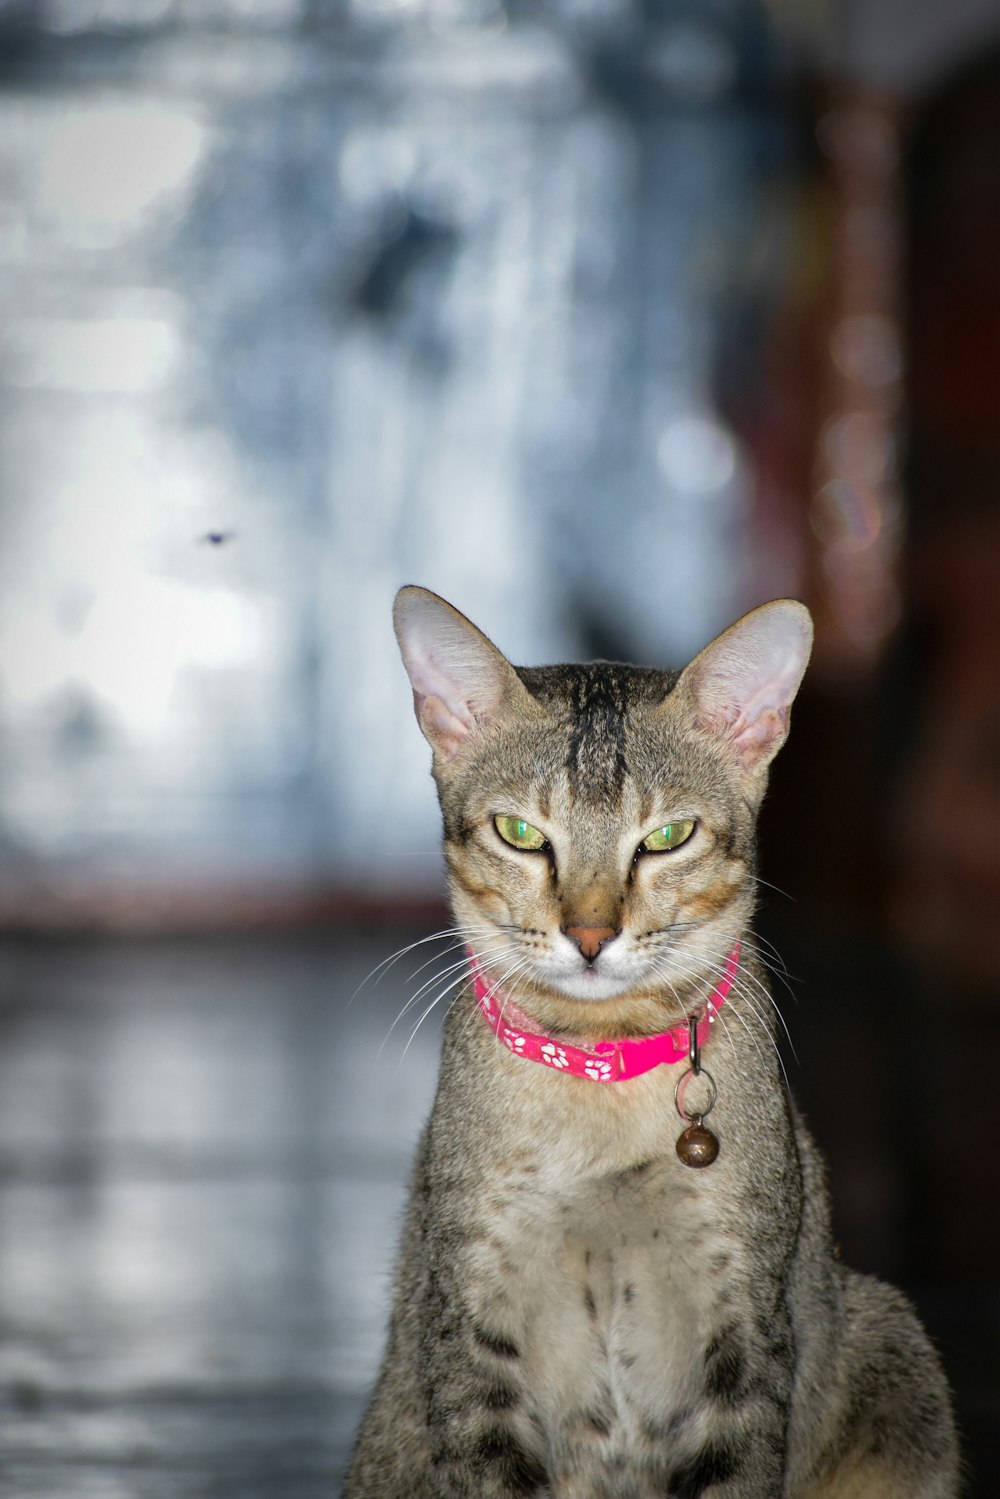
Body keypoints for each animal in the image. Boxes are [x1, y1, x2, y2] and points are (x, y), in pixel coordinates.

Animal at [346, 584, 959, 1499]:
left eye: (668, 836)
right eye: (520, 832)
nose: (590, 934)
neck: (602, 1075)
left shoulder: (742, 1326)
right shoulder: (472, 1329)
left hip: (894, 1338)